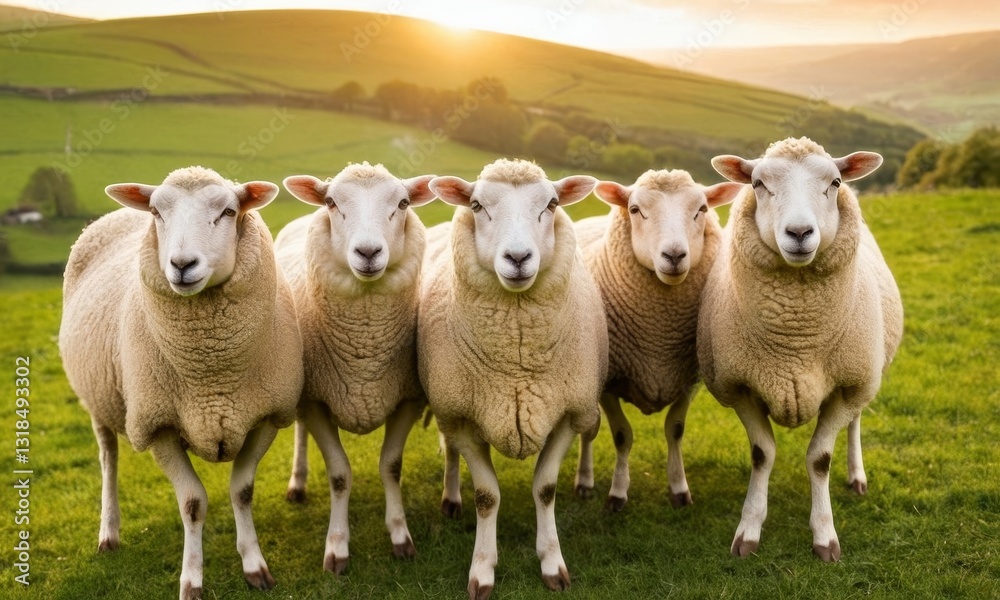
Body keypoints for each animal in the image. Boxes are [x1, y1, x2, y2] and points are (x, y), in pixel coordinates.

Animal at [59, 166, 304, 600]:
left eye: (228, 211)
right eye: (157, 212)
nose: (182, 264)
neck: (211, 373)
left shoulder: (265, 417)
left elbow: (242, 491)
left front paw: (255, 566)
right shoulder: (158, 426)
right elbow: (192, 503)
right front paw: (191, 580)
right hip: (97, 399)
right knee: (108, 459)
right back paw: (108, 533)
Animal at [275, 163, 436, 574]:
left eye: (403, 203)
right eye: (332, 202)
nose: (367, 252)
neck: (366, 346)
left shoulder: (407, 399)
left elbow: (391, 465)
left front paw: (400, 536)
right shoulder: (316, 400)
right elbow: (339, 475)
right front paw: (337, 547)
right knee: (299, 431)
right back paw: (297, 483)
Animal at [418, 159, 607, 599]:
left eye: (551, 204)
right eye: (476, 205)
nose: (518, 257)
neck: (516, 366)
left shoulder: (567, 414)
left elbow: (545, 489)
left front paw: (552, 563)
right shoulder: (463, 417)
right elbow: (486, 496)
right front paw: (482, 570)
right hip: (447, 407)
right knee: (450, 452)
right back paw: (450, 498)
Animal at [571, 170, 743, 511]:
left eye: (702, 209)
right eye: (635, 210)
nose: (674, 255)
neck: (658, 333)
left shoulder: (689, 378)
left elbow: (675, 429)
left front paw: (679, 490)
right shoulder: (609, 379)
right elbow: (621, 434)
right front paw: (617, 494)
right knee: (589, 431)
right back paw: (584, 481)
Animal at [698, 137, 903, 561]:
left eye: (835, 182)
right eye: (758, 184)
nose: (798, 232)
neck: (795, 341)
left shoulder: (848, 388)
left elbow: (819, 460)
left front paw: (824, 535)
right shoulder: (740, 387)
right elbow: (762, 454)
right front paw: (749, 528)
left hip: (865, 377)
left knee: (856, 423)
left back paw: (857, 476)